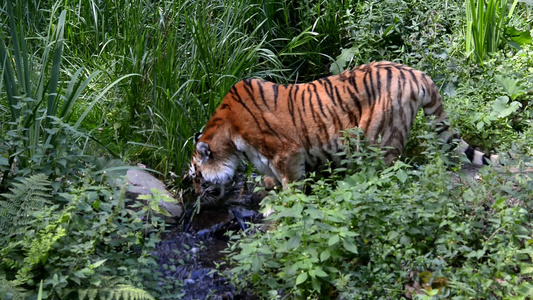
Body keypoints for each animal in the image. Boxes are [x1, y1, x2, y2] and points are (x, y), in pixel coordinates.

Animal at [187, 61, 494, 200]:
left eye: (196, 176)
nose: (197, 195)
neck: (229, 136)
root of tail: (416, 73)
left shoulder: (287, 154)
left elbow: (291, 187)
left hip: (378, 140)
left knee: (389, 174)